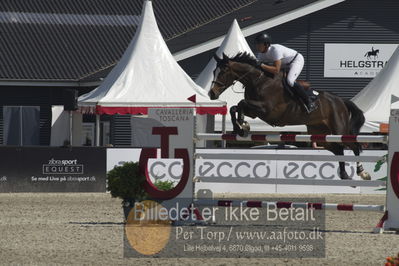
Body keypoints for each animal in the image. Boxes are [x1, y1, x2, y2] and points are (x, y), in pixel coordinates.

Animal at [211, 52, 370, 181]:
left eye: (223, 71)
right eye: (214, 71)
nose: (211, 94)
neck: (259, 80)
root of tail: (340, 100)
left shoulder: (266, 110)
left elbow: (241, 103)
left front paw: (242, 125)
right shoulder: (255, 112)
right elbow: (235, 107)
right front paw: (241, 127)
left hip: (339, 130)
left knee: (354, 146)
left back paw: (362, 173)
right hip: (320, 133)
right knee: (338, 150)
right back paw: (344, 175)